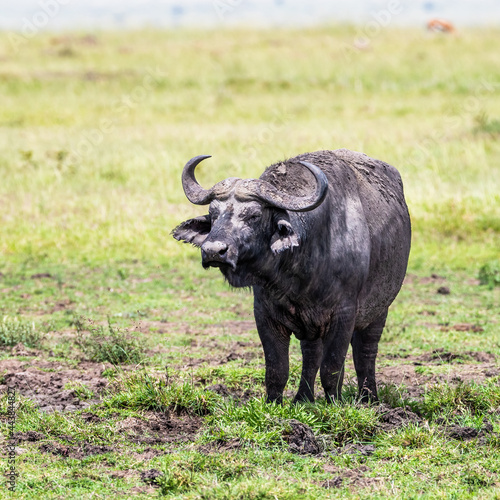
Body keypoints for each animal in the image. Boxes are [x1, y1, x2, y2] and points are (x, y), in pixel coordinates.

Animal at [172, 148, 410, 402]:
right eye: (213, 213)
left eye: (254, 215)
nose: (213, 250)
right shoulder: (265, 314)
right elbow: (277, 368)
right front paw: (273, 403)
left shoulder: (344, 314)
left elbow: (332, 367)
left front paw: (335, 403)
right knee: (311, 354)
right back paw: (303, 397)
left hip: (379, 310)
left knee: (365, 351)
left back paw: (369, 398)